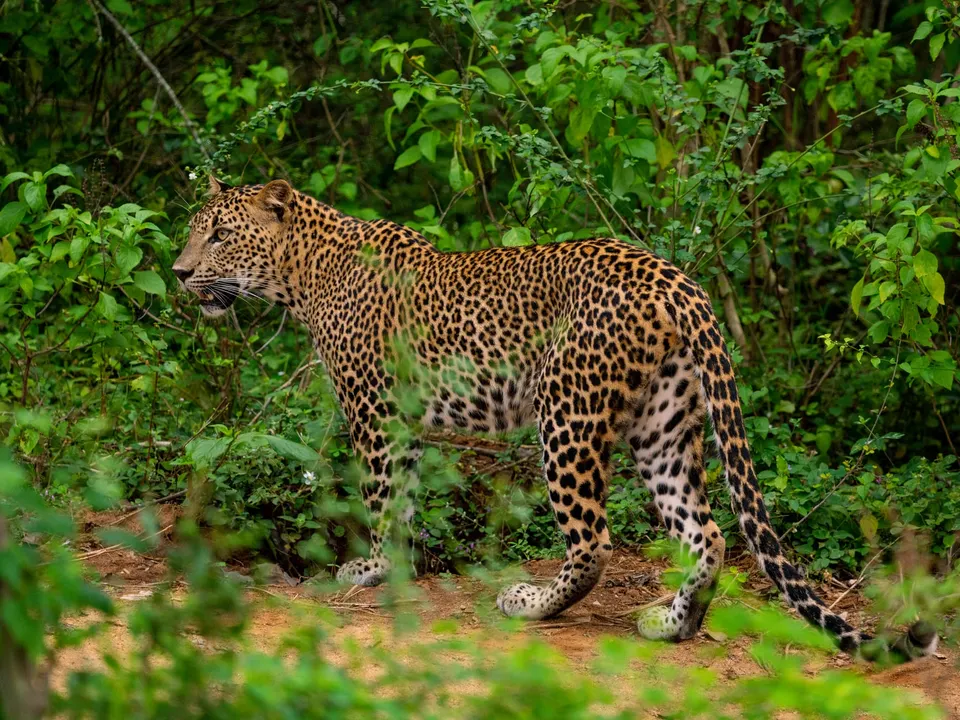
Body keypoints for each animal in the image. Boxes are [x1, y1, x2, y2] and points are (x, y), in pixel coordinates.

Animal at [173, 176, 936, 660]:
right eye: (194, 234)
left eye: (219, 235)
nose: (178, 273)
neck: (301, 274)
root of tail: (680, 282)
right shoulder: (406, 423)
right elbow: (408, 501)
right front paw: (399, 567)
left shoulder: (374, 412)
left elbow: (383, 498)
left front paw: (370, 569)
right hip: (663, 426)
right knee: (709, 532)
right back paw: (673, 624)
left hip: (566, 412)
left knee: (594, 541)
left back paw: (532, 602)